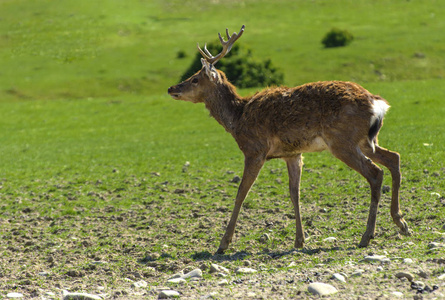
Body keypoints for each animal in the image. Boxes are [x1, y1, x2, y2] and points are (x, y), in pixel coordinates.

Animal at [166, 25, 410, 253]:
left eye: (195, 79)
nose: (171, 88)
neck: (237, 118)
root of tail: (377, 103)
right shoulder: (293, 153)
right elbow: (295, 193)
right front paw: (299, 240)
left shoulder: (255, 150)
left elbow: (241, 193)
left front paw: (223, 244)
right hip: (366, 140)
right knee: (394, 158)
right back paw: (401, 223)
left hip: (343, 140)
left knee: (375, 173)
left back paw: (367, 235)